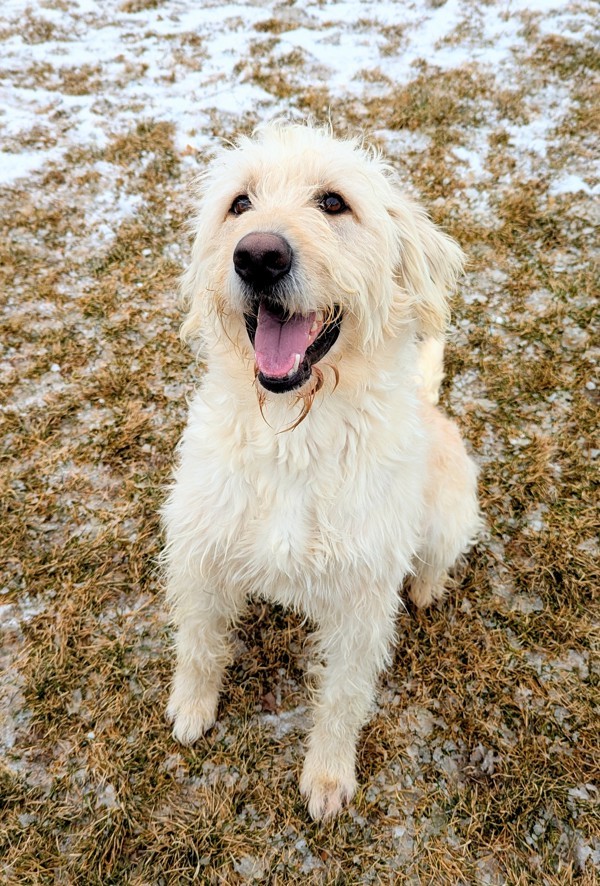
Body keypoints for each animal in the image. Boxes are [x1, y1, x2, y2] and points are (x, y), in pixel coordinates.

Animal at [162, 121, 480, 824]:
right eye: (240, 204)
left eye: (334, 202)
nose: (258, 257)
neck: (292, 435)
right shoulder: (199, 552)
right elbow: (199, 641)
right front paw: (193, 708)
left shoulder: (362, 604)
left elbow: (343, 697)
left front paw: (328, 775)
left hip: (449, 514)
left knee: (437, 557)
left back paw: (426, 587)